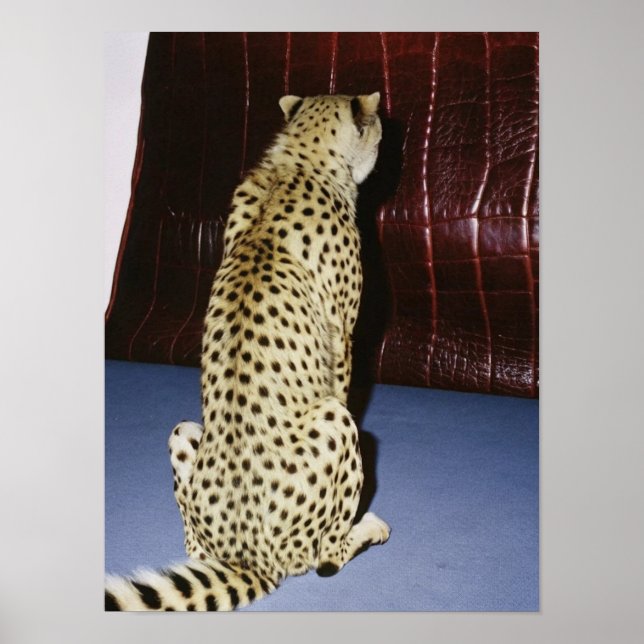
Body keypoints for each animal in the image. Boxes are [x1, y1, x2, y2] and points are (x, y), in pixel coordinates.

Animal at [105, 92, 390, 611]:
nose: (382, 132)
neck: (299, 160)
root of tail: (250, 557)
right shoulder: (342, 340)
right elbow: (344, 381)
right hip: (334, 423)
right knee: (325, 558)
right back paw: (367, 528)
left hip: (185, 432)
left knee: (194, 547)